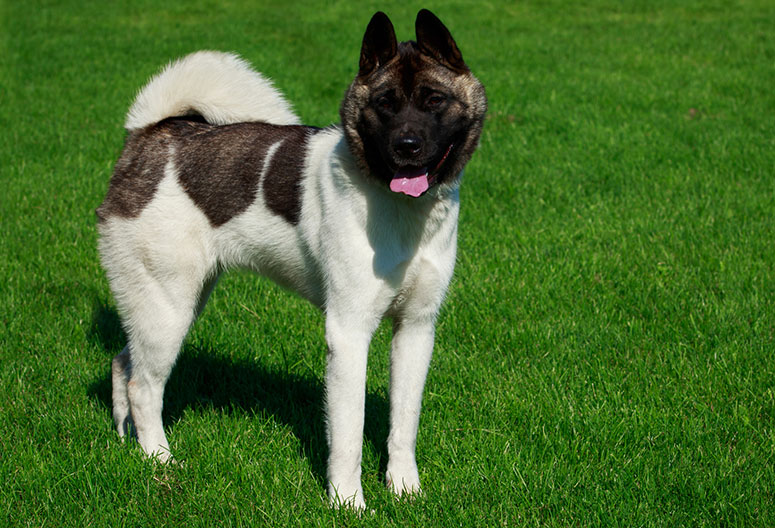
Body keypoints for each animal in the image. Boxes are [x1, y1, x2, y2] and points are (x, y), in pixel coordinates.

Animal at [95, 8, 484, 510]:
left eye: (434, 100)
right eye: (385, 104)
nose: (407, 146)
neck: (399, 209)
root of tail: (148, 132)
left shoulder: (417, 328)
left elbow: (404, 421)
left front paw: (405, 489)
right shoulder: (348, 332)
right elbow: (348, 433)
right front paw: (347, 503)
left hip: (166, 303)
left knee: (124, 363)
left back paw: (128, 441)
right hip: (169, 309)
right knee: (143, 385)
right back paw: (159, 460)